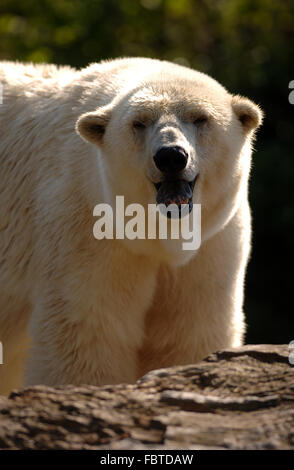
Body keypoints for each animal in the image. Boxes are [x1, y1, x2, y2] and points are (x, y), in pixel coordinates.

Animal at [0, 58, 262, 396]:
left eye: (200, 118)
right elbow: (86, 331)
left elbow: (190, 331)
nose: (171, 156)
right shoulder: (84, 226)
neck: (158, 234)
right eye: (139, 123)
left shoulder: (211, 245)